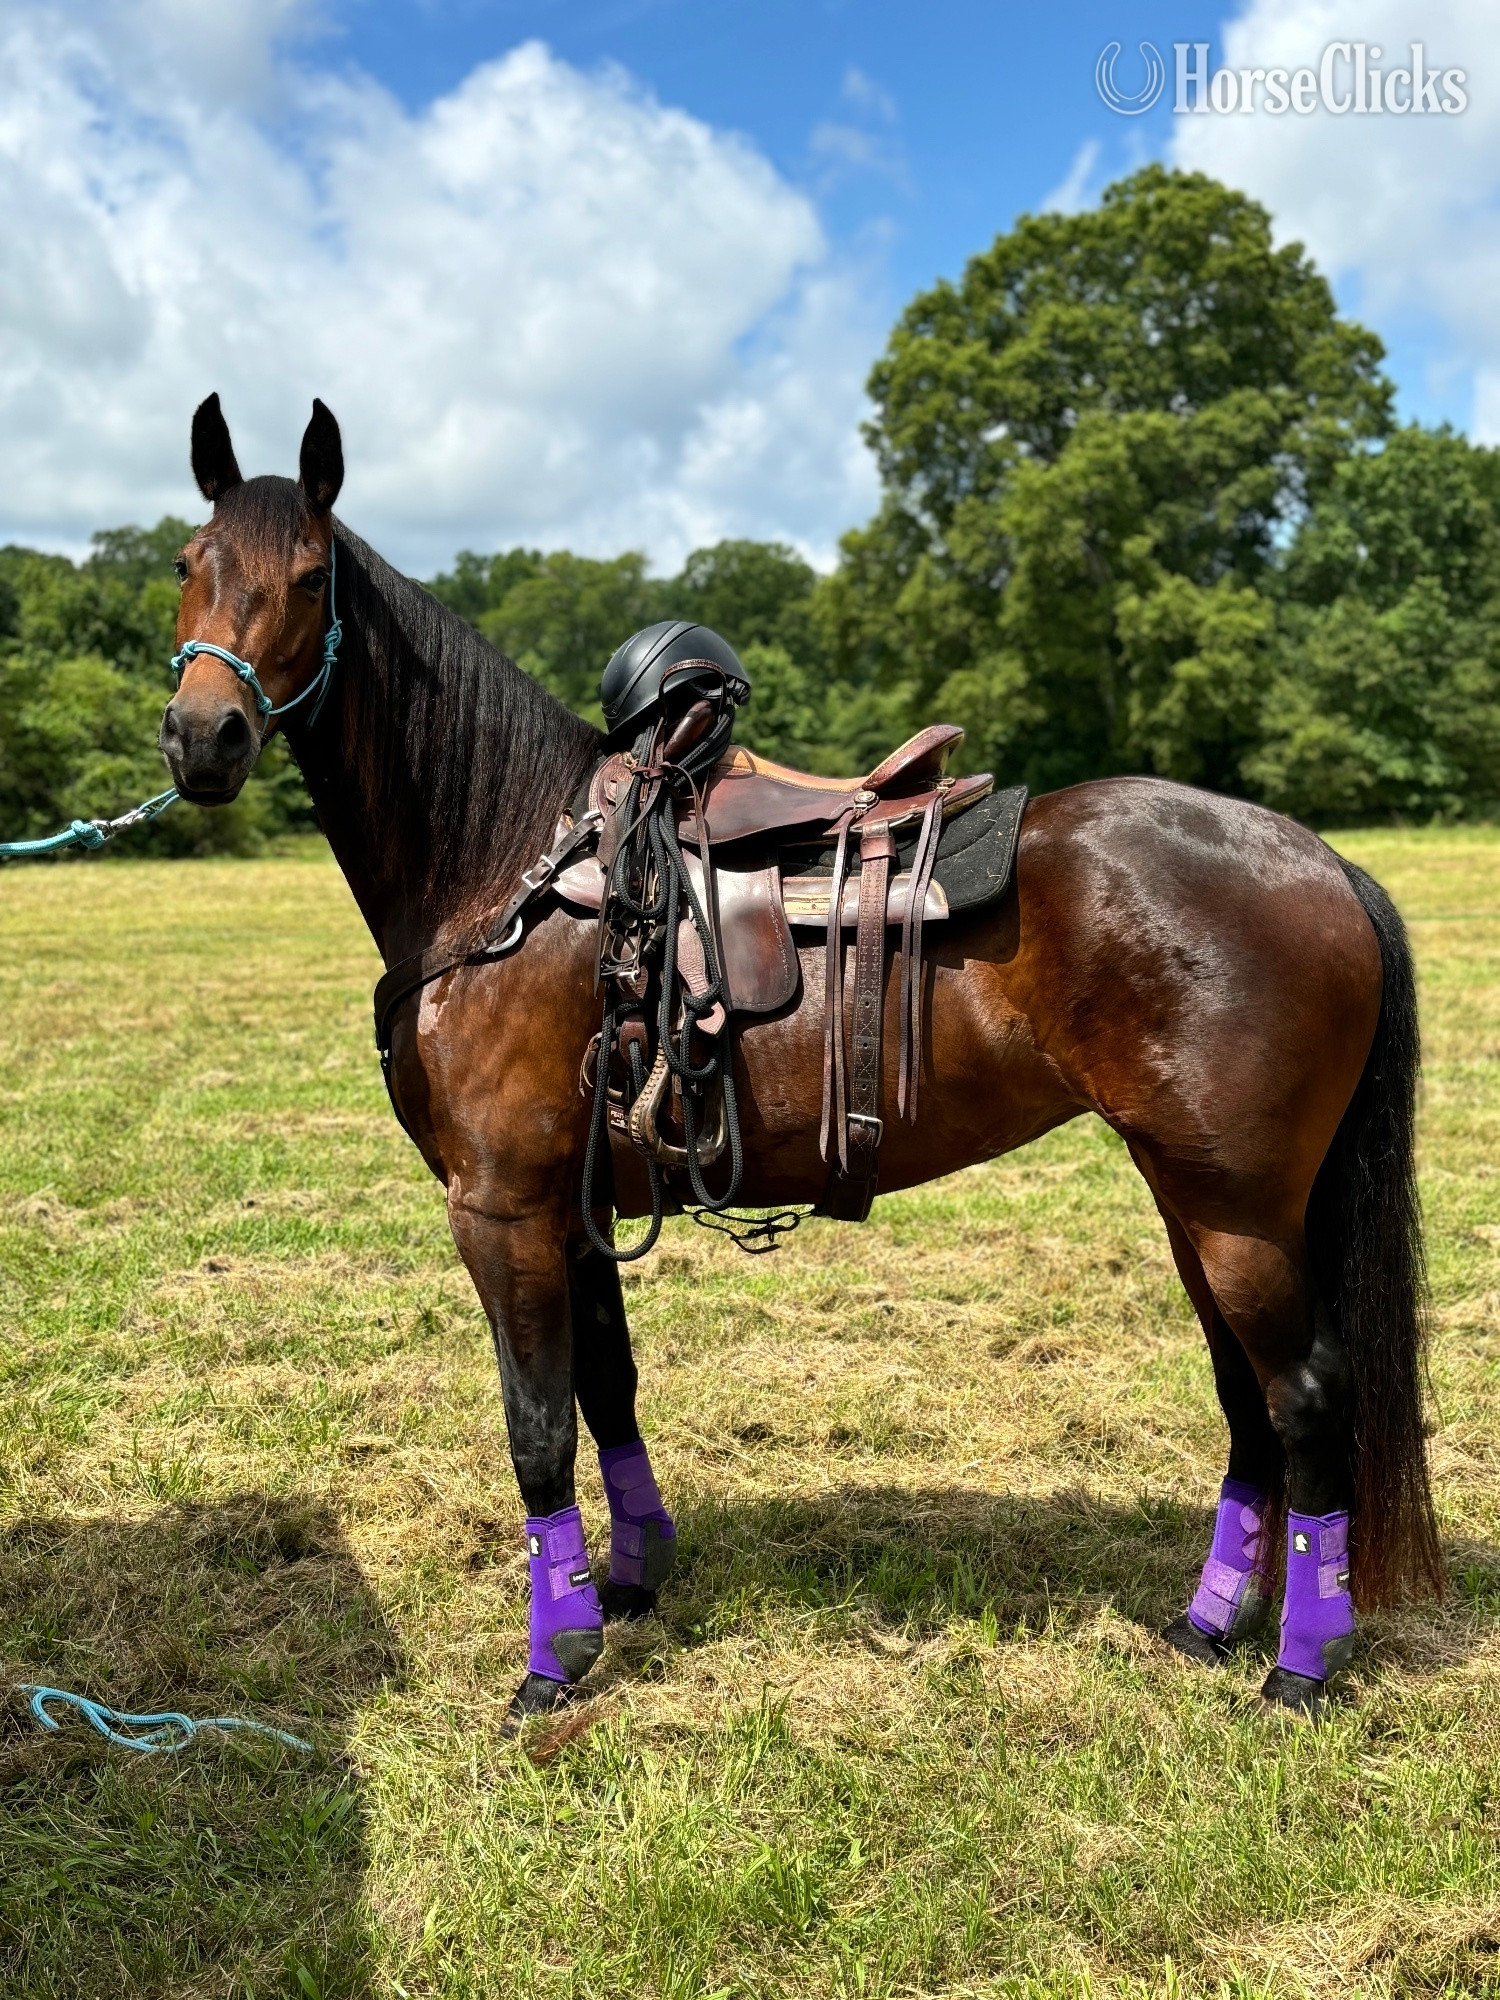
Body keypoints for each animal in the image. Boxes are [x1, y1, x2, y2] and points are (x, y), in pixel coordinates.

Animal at [157, 395, 1442, 1721]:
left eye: (311, 578)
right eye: (188, 563)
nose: (204, 736)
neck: (509, 864)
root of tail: (1321, 861)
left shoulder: (501, 1207)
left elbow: (537, 1426)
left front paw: (552, 1662)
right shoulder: (576, 1206)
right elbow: (607, 1387)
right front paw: (631, 1579)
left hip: (1239, 1210)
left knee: (1306, 1397)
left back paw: (1301, 1666)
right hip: (1196, 1199)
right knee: (1247, 1399)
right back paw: (1210, 1623)